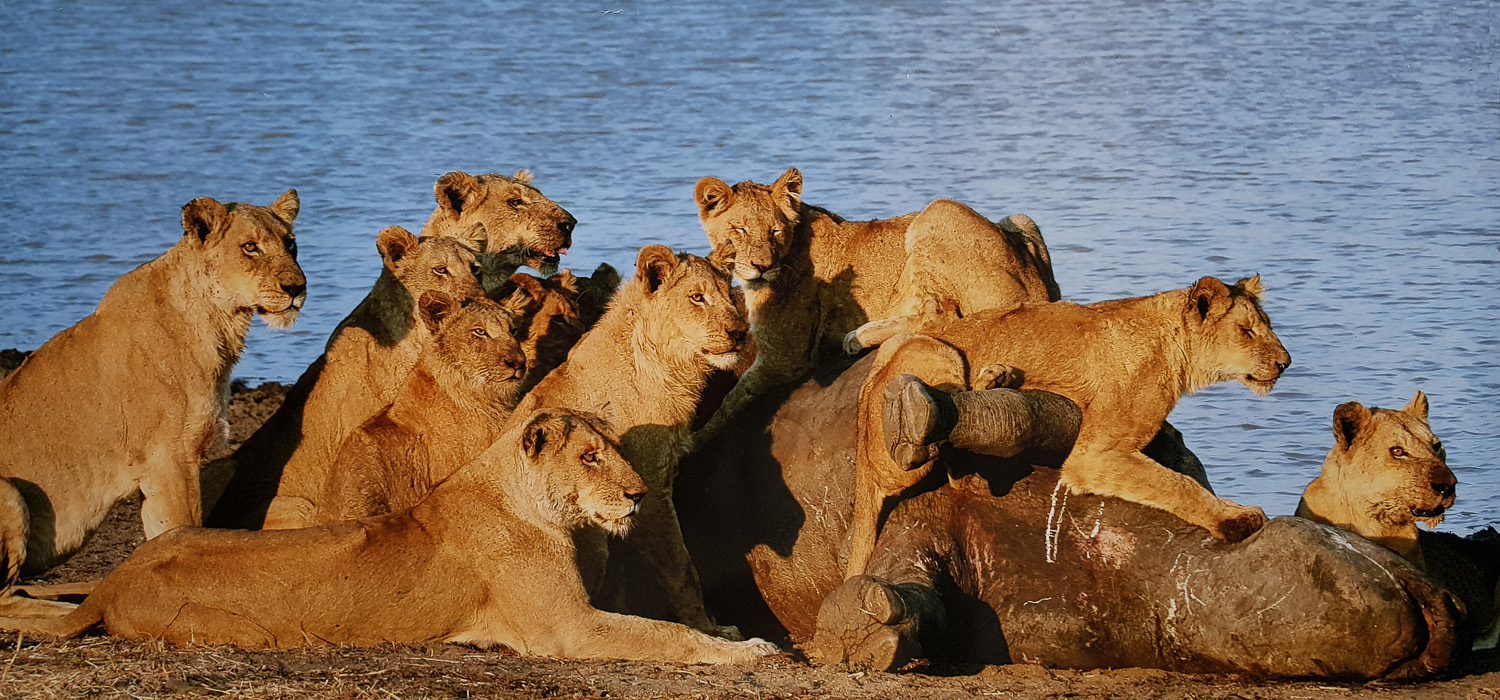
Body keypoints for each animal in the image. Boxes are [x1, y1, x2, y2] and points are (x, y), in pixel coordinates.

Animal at [0, 190, 304, 593]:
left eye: (291, 244)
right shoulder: (168, 459)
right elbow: (183, 528)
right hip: (10, 492)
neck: (217, 324)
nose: (297, 288)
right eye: (250, 247)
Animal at [0, 409, 780, 664]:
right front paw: (750, 650)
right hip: (244, 629)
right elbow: (667, 634)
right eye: (590, 457)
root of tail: (114, 583)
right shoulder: (569, 628)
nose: (639, 493)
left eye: (614, 448)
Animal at [509, 245, 749, 639]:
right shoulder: (648, 484)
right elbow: (681, 565)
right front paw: (709, 628)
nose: (741, 332)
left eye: (731, 295)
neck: (665, 366)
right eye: (697, 297)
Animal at [692, 167, 1057, 441]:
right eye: (739, 229)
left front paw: (693, 441)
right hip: (1021, 220)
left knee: (939, 316)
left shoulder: (786, 357)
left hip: (937, 210)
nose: (762, 266)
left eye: (775, 231)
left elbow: (732, 399)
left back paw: (859, 337)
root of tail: (1037, 295)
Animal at [844, 275, 1291, 576]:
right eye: (1247, 330)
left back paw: (1000, 378)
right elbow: (1176, 483)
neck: (1174, 349)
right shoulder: (1094, 454)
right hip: (934, 351)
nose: (1286, 363)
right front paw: (1232, 520)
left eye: (1266, 324)